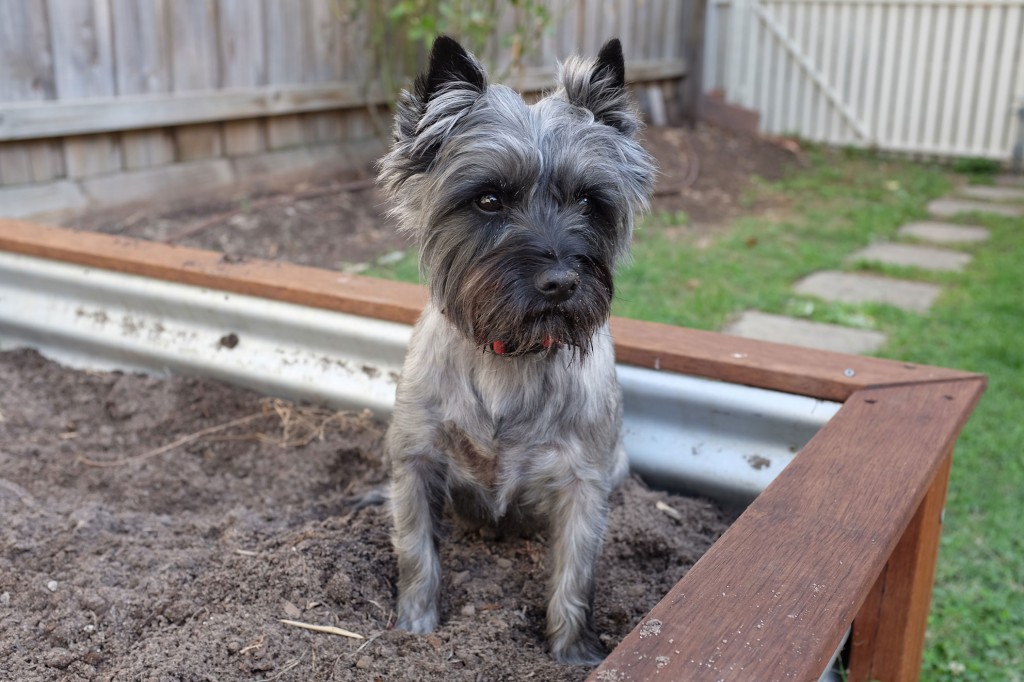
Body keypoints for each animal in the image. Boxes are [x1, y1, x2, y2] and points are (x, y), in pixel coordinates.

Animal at [376, 34, 655, 659]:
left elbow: (575, 576)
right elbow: (417, 554)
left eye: (589, 201)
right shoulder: (417, 462)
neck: (509, 358)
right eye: (488, 200)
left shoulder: (583, 484)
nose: (562, 282)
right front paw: (414, 630)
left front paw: (572, 653)